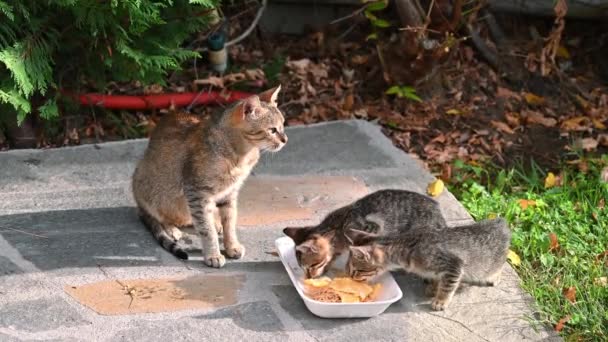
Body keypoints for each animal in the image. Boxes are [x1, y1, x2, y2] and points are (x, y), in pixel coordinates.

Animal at [344, 219, 510, 310]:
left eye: (355, 271)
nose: (349, 278)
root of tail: (500, 222)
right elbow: (437, 279)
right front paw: (433, 287)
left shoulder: (453, 265)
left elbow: (448, 286)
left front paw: (441, 300)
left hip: (492, 262)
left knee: (500, 265)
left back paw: (495, 277)